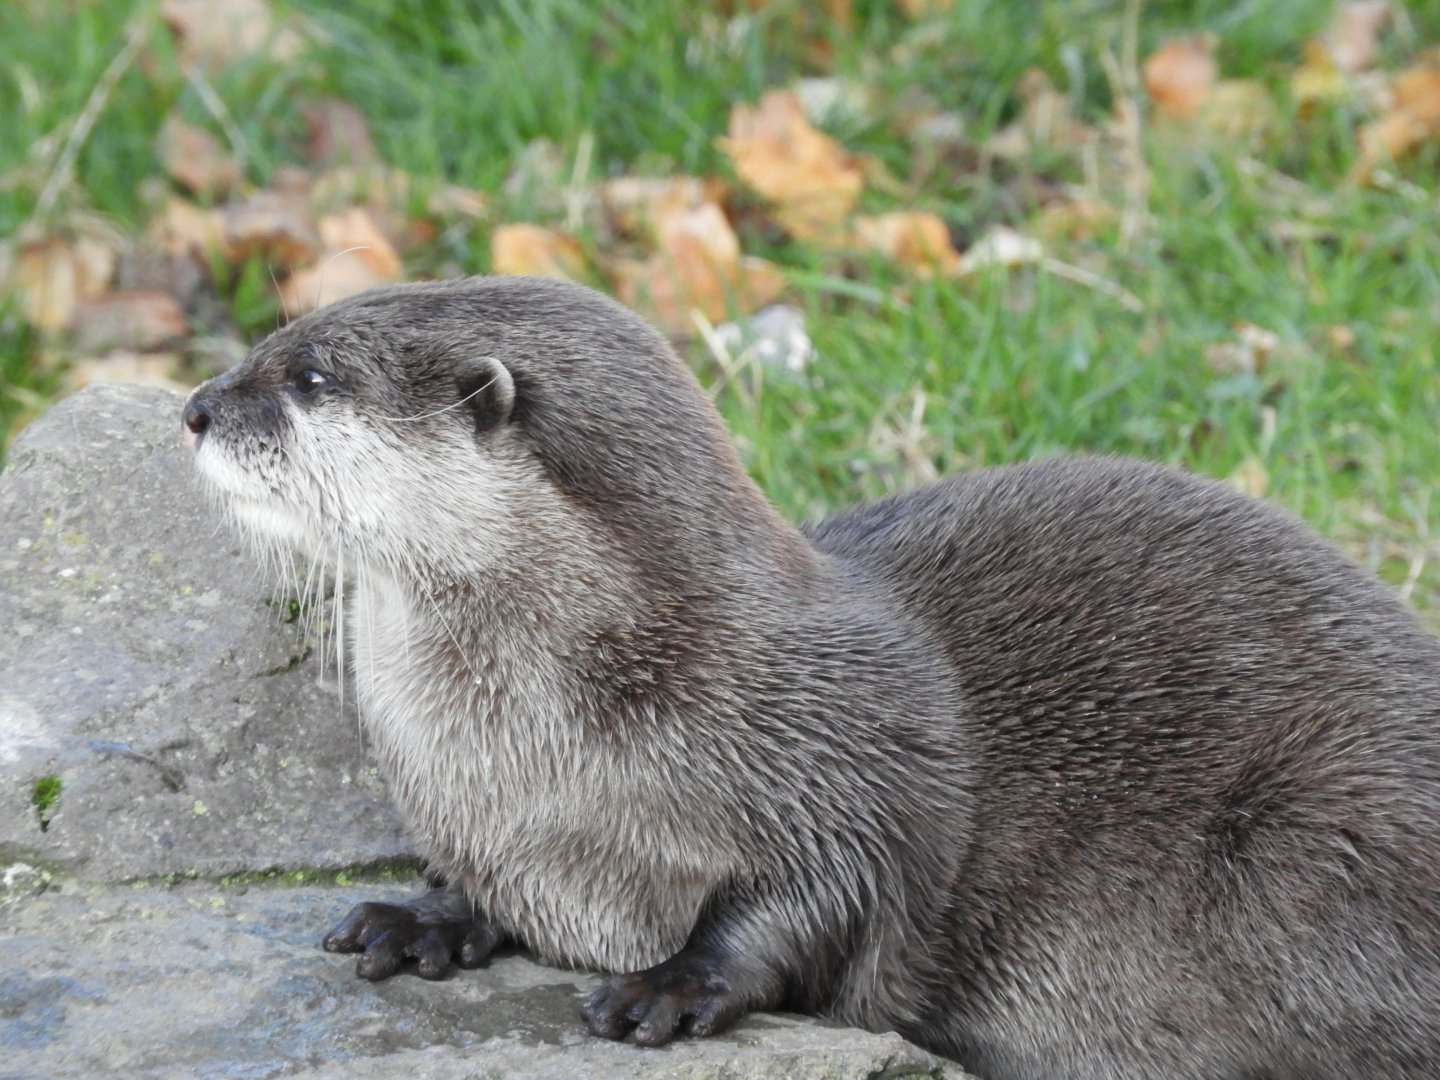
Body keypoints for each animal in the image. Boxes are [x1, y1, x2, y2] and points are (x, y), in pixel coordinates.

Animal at [182, 276, 1439, 1080]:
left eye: (307, 376)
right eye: (274, 339)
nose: (193, 406)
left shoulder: (834, 765)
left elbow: (816, 906)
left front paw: (667, 986)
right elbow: (473, 883)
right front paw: (419, 917)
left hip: (1310, 851)